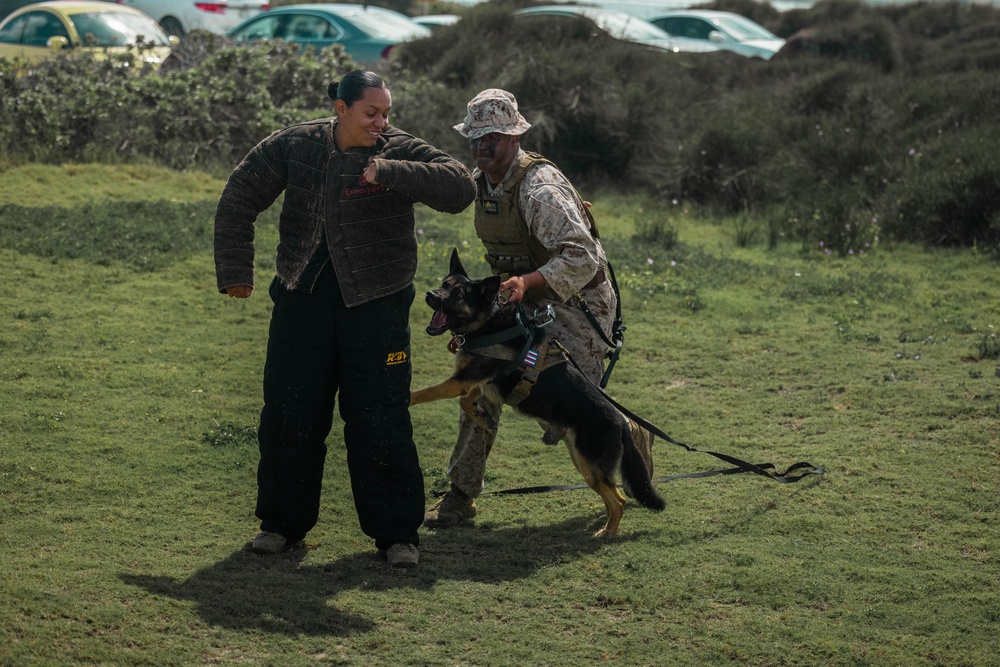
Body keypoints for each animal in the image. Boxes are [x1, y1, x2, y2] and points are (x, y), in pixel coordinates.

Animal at [408, 250, 664, 536]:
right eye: (444, 285)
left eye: (459, 294)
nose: (429, 294)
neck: (489, 323)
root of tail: (620, 422)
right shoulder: (474, 382)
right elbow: (467, 402)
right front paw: (484, 418)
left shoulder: (460, 381)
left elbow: (424, 392)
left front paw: (407, 396)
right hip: (583, 462)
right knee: (614, 497)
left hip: (590, 463)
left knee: (618, 500)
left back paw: (607, 532)